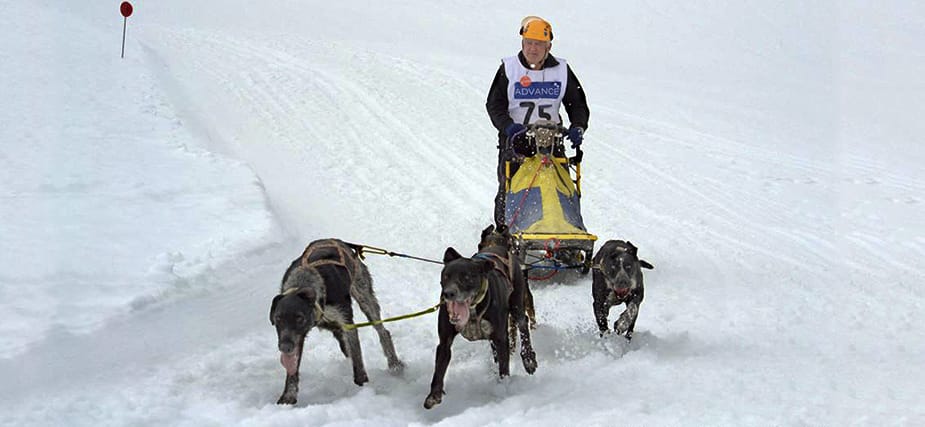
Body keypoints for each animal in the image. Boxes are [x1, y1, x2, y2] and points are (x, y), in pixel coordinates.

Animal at [424, 226, 536, 410]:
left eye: (466, 277)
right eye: (446, 276)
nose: (449, 293)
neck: (472, 310)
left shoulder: (501, 337)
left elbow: (504, 368)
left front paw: (503, 389)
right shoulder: (445, 341)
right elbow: (439, 369)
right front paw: (434, 394)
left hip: (518, 302)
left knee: (523, 323)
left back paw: (529, 359)